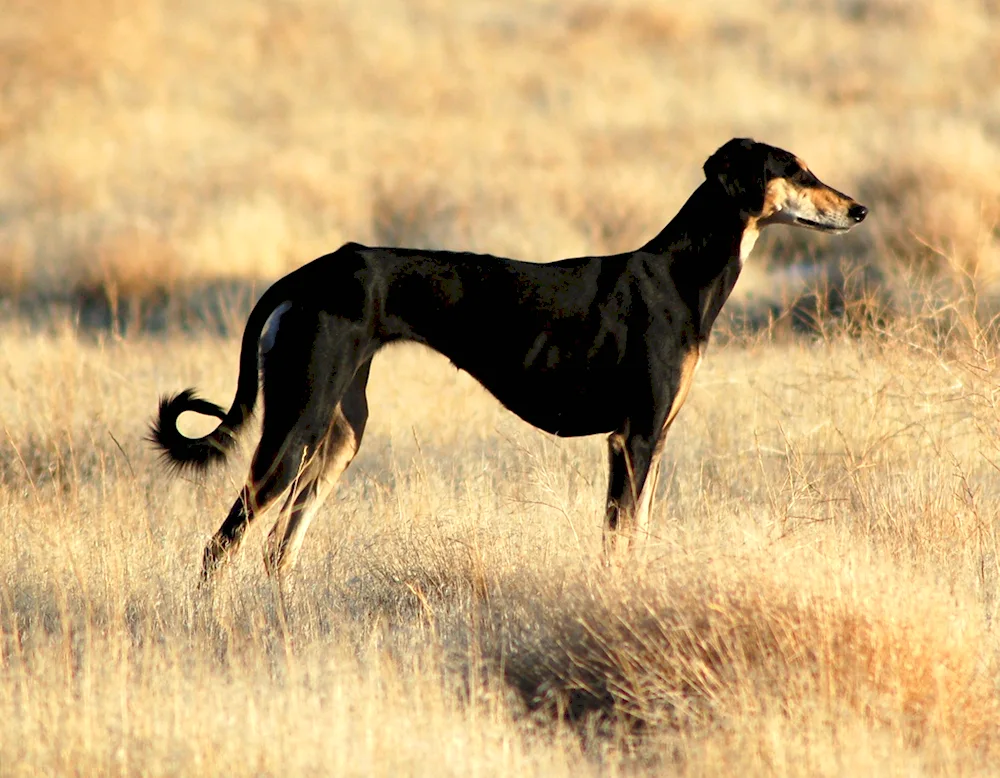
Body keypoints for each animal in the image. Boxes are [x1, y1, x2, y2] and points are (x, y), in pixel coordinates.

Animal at [148, 138, 868, 576]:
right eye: (794, 169)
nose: (860, 209)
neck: (681, 272)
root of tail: (306, 274)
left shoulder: (650, 442)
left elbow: (631, 540)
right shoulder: (632, 439)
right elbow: (619, 543)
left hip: (340, 434)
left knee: (277, 548)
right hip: (295, 426)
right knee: (222, 543)